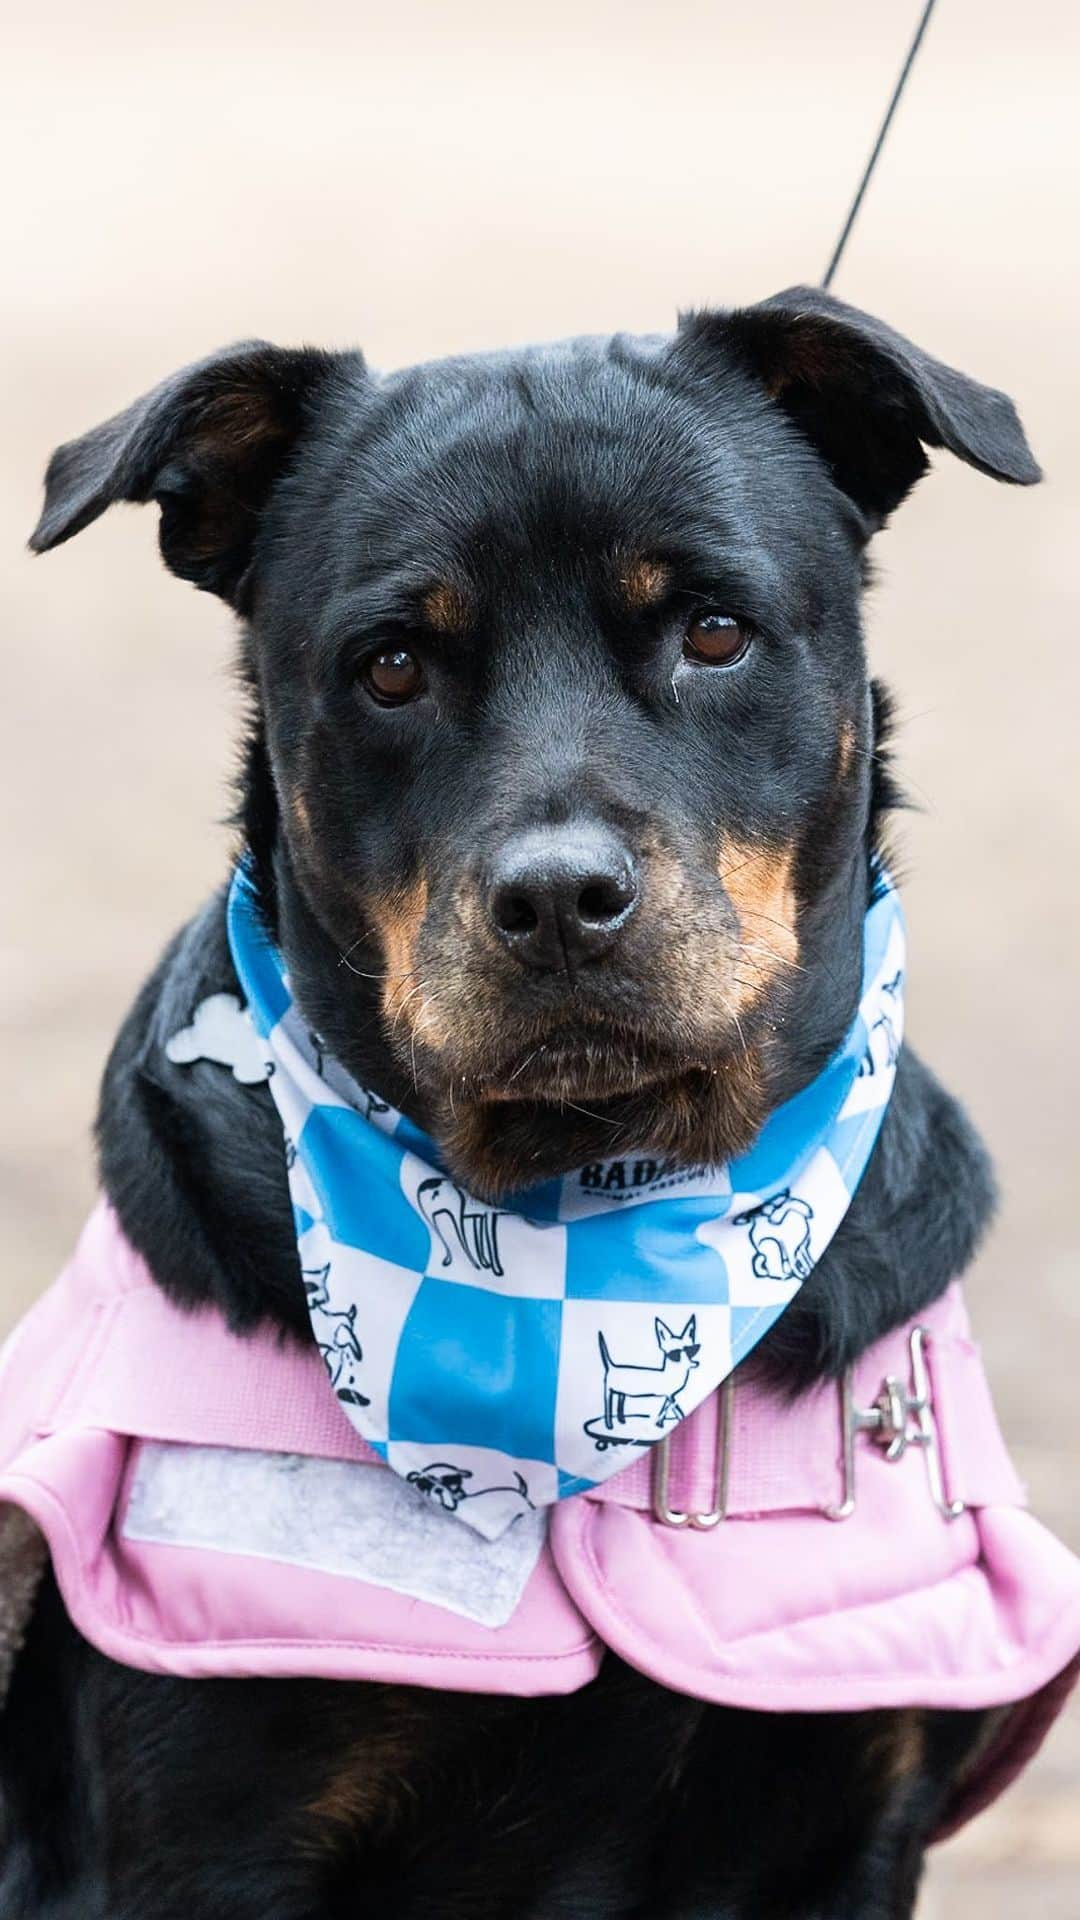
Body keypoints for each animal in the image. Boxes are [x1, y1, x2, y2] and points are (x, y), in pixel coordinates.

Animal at [4, 288, 1037, 1920]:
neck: (595, 1216)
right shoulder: (211, 1841)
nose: (558, 900)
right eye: (390, 666)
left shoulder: (853, 1811)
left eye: (715, 632)